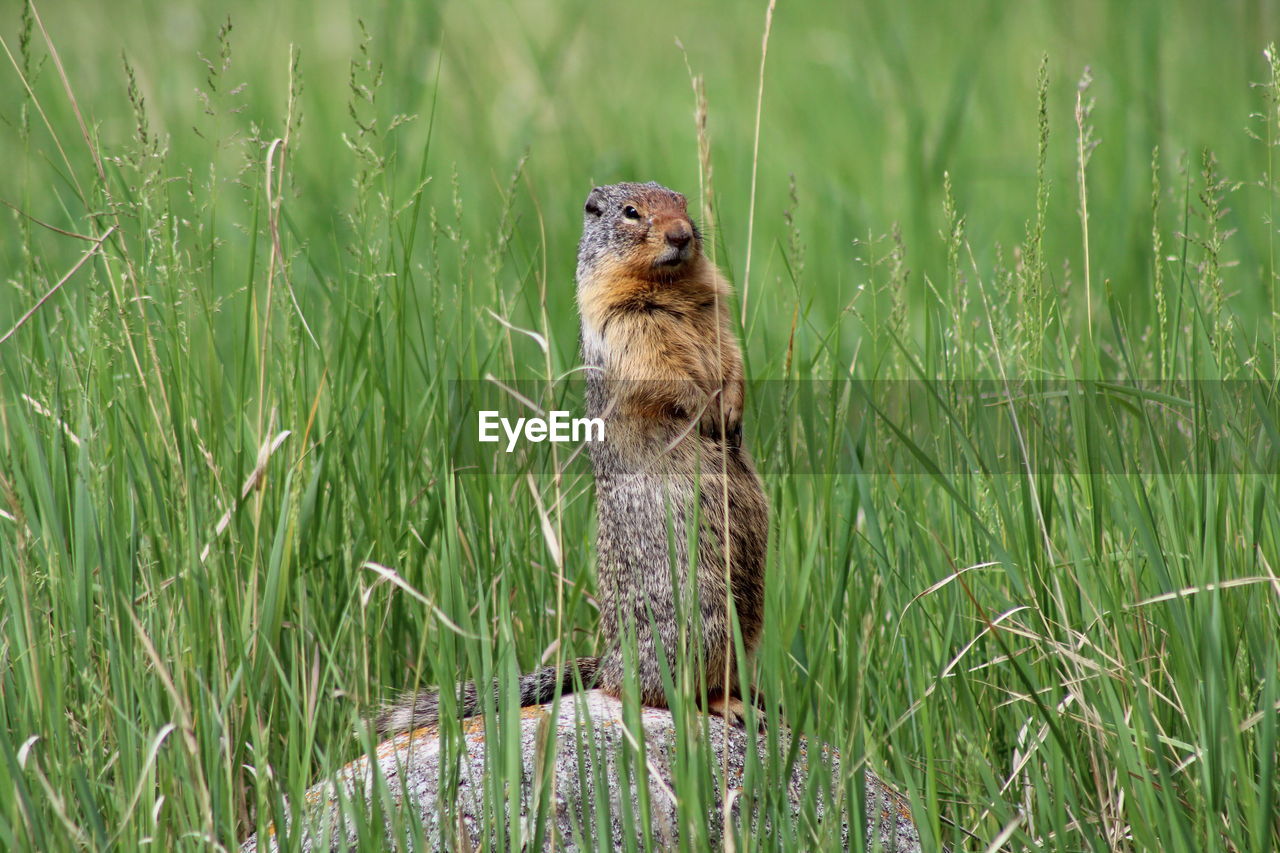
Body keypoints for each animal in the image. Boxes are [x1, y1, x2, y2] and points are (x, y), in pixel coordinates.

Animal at [373, 179, 762, 732]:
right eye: (630, 212)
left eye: (683, 202)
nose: (682, 234)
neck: (668, 286)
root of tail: (608, 665)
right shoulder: (622, 325)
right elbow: (661, 370)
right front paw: (703, 408)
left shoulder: (715, 312)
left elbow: (731, 356)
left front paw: (729, 407)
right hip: (702, 614)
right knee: (666, 690)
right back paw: (724, 703)